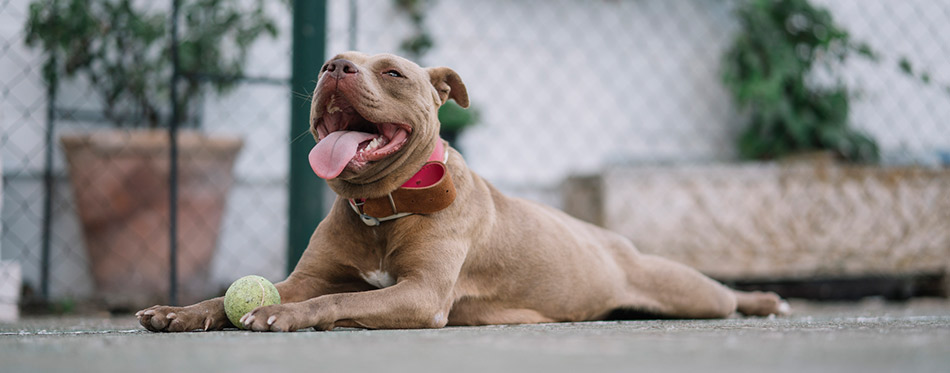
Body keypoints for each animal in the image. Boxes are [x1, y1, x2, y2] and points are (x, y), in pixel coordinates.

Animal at [134, 51, 788, 332]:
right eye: (329, 64)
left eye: (393, 72)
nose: (334, 67)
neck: (383, 207)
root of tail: (611, 241)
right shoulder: (308, 277)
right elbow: (235, 297)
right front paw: (179, 312)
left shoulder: (422, 294)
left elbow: (335, 301)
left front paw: (280, 316)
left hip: (686, 290)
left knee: (724, 296)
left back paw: (767, 300)